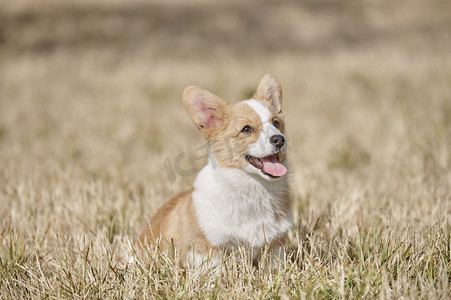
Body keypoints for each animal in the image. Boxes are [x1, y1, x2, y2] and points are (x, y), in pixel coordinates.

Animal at [139, 73, 294, 270]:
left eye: (276, 123)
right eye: (246, 129)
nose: (279, 139)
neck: (255, 188)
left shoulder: (275, 246)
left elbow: (274, 266)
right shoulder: (205, 247)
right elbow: (215, 270)